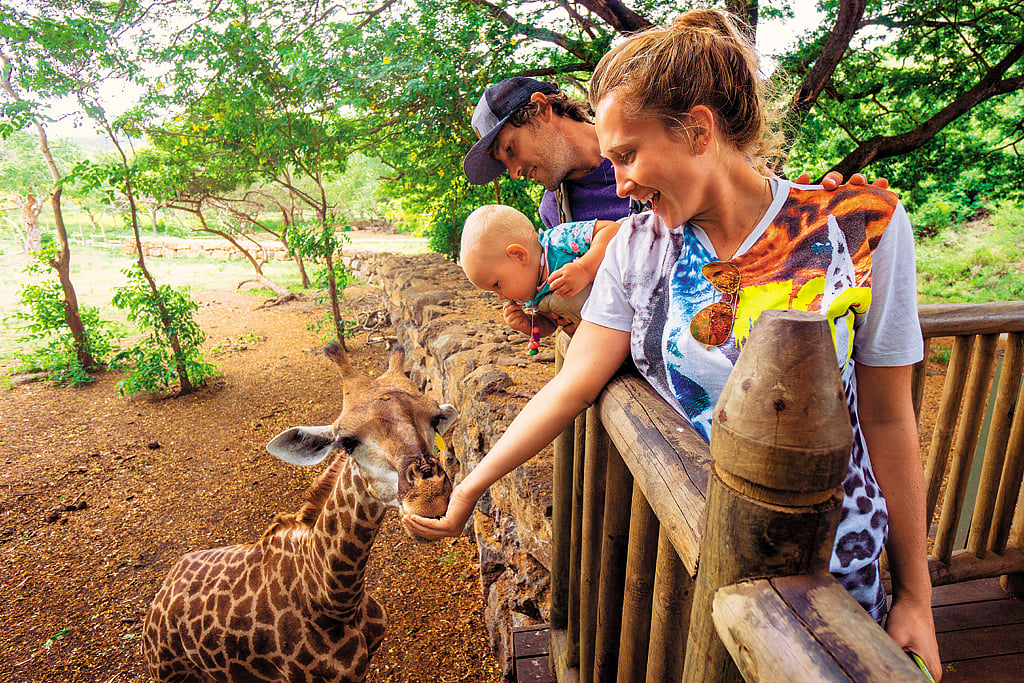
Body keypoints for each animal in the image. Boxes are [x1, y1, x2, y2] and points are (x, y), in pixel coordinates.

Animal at [142, 340, 458, 682]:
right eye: (347, 442)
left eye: (435, 420)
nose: (430, 499)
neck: (335, 601)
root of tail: (160, 596)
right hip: (170, 673)